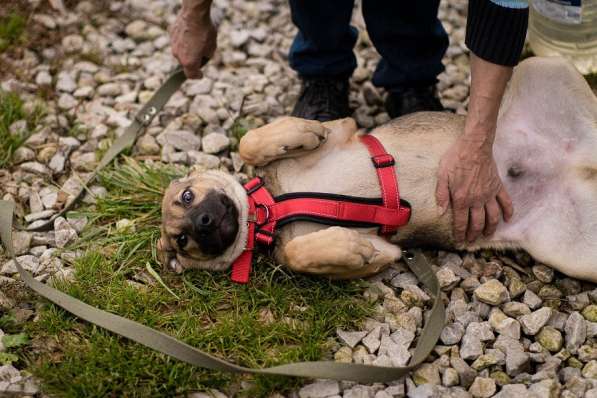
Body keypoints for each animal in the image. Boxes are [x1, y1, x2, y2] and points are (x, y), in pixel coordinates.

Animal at [157, 58, 596, 282]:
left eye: (187, 196)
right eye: (182, 240)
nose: (204, 222)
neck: (271, 209)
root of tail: (579, 167)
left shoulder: (341, 131)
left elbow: (252, 140)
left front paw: (304, 132)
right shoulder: (385, 252)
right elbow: (302, 253)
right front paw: (352, 249)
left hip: (543, 65)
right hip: (576, 254)